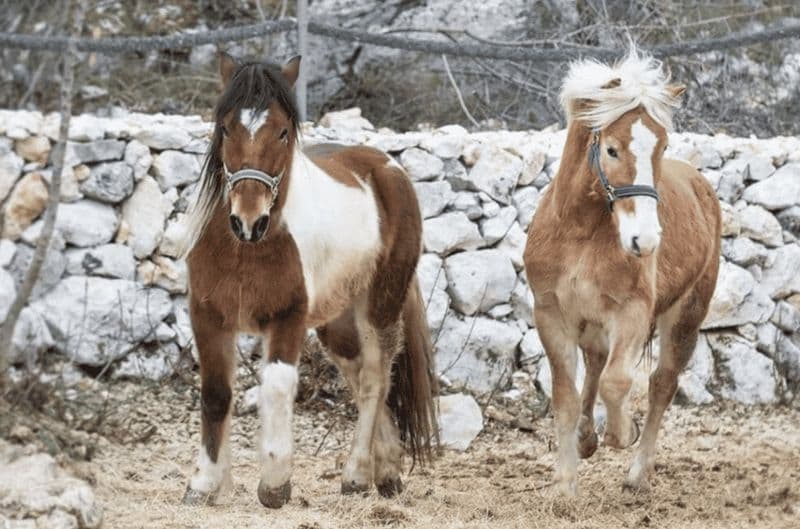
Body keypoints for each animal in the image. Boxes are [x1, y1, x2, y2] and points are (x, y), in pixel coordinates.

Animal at [181, 52, 437, 508]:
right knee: (359, 374)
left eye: (283, 131)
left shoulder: (288, 317)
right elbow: (216, 394)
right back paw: (387, 471)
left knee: (375, 378)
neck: (243, 250)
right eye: (225, 127)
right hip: (337, 323)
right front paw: (207, 484)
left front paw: (275, 483)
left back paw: (357, 475)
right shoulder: (208, 317)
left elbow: (278, 387)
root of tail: (388, 167)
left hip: (380, 306)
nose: (249, 221)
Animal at [523, 48, 721, 496]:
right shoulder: (552, 314)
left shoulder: (632, 312)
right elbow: (566, 396)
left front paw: (620, 433)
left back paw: (636, 472)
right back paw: (586, 439)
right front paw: (566, 483)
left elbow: (618, 382)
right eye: (612, 150)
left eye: (662, 146)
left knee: (661, 384)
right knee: (596, 365)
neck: (580, 232)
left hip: (685, 315)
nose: (644, 241)